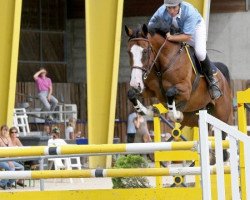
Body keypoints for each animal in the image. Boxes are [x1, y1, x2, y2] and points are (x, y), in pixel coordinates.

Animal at [126, 23, 233, 161]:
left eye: (145, 51)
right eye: (129, 52)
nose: (135, 83)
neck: (163, 63)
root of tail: (223, 78)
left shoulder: (185, 90)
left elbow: (170, 93)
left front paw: (175, 115)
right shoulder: (149, 91)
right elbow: (131, 94)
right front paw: (150, 111)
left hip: (222, 114)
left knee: (223, 135)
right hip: (194, 117)